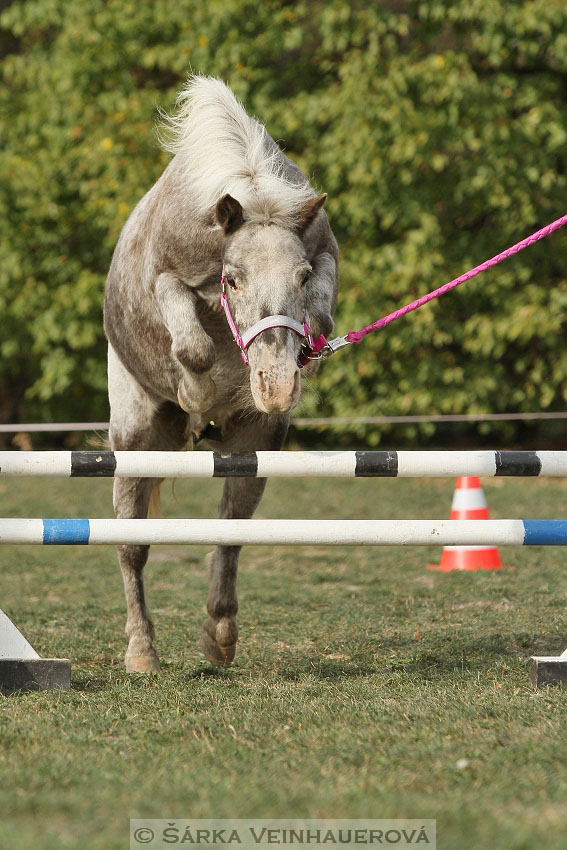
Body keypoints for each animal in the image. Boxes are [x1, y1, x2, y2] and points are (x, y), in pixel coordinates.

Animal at [104, 76, 340, 668]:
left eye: (302, 276)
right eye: (232, 279)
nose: (277, 388)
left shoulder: (323, 257)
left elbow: (323, 312)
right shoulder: (167, 278)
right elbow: (190, 343)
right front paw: (197, 390)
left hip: (254, 442)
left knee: (231, 526)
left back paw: (220, 632)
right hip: (135, 438)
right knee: (131, 545)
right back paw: (142, 651)